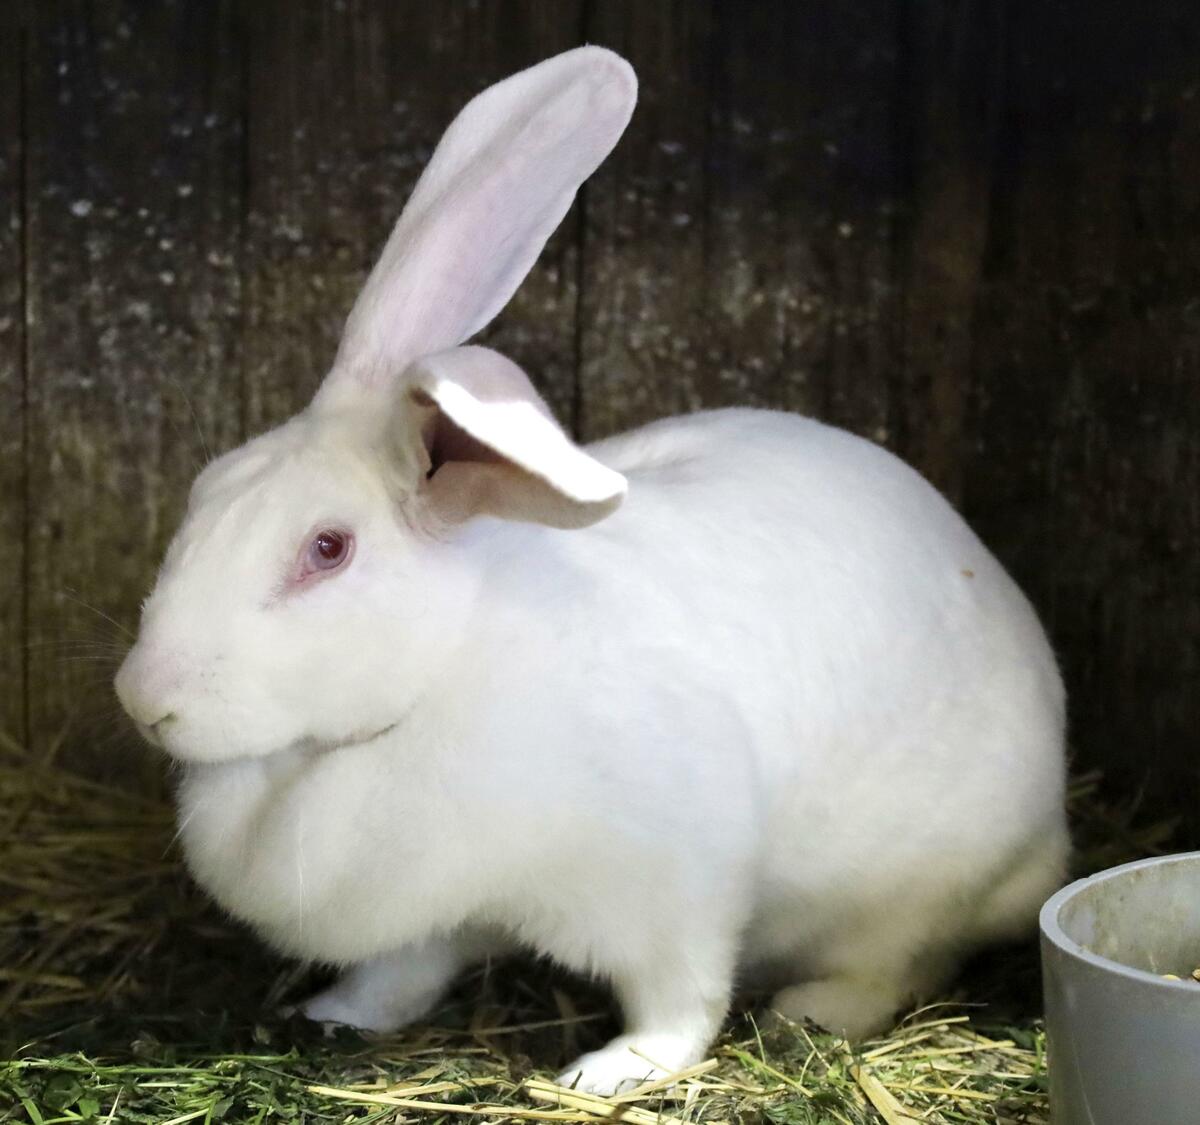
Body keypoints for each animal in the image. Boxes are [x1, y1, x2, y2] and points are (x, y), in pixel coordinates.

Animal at [114, 46, 1069, 1095]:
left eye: (327, 549)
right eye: (206, 489)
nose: (142, 697)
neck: (434, 684)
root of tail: (1050, 838)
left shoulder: (673, 884)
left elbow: (680, 998)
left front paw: (608, 1071)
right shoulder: (432, 920)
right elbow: (401, 976)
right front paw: (337, 1013)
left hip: (910, 888)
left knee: (896, 959)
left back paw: (809, 1012)